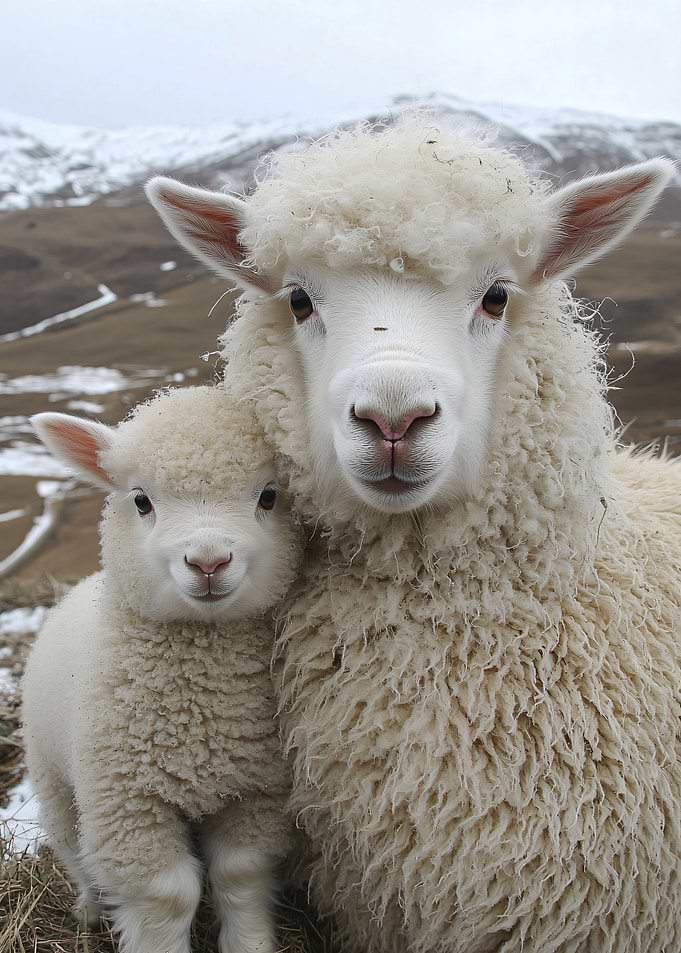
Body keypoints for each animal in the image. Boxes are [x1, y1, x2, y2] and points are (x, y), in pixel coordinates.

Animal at [21, 385, 303, 953]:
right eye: (141, 501)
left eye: (268, 496)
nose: (209, 562)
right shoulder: (127, 808)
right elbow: (167, 899)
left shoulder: (257, 794)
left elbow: (239, 877)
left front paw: (250, 942)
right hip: (53, 777)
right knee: (72, 847)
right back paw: (88, 908)